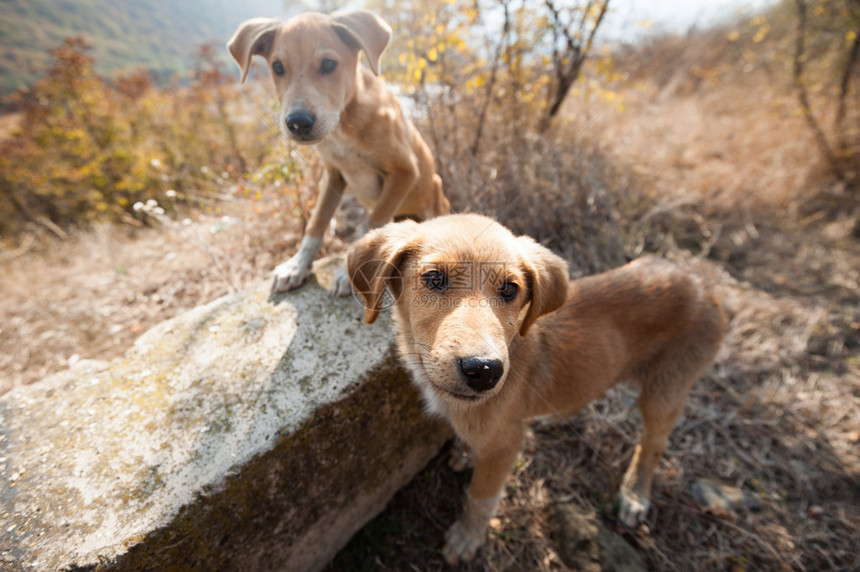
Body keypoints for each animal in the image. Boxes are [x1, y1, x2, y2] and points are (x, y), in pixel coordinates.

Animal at [227, 11, 450, 298]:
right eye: (277, 67)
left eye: (329, 64)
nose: (298, 122)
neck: (344, 127)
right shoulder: (334, 175)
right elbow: (317, 221)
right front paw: (297, 265)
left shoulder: (405, 170)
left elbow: (374, 221)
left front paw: (350, 273)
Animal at [346, 213, 728, 564]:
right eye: (434, 278)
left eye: (510, 289)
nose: (484, 371)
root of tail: (704, 282)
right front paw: (466, 453)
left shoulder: (504, 446)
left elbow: (481, 497)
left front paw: (467, 539)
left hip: (667, 388)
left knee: (653, 444)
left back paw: (635, 494)